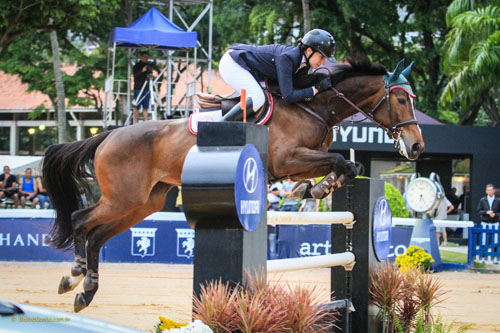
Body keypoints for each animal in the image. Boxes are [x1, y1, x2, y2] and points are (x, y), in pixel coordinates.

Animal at [44, 57, 426, 312]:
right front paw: (318, 189)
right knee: (81, 220)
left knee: (97, 235)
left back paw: (85, 290)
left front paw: (317, 189)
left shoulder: (298, 163)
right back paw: (73, 274)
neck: (314, 107)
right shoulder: (288, 159)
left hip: (142, 203)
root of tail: (108, 134)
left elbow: (347, 164)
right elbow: (339, 160)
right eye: (401, 100)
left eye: (413, 101)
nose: (417, 147)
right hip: (123, 198)